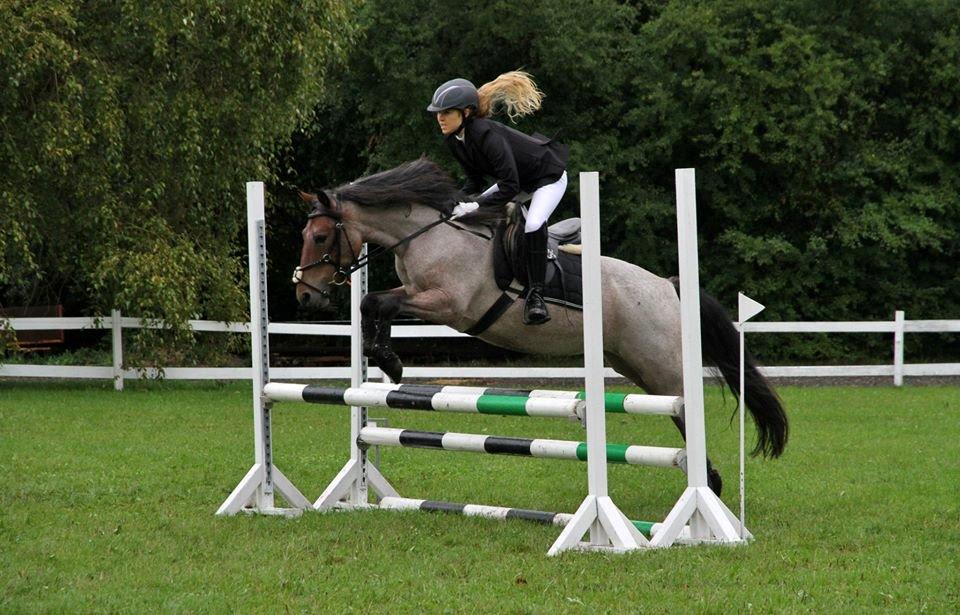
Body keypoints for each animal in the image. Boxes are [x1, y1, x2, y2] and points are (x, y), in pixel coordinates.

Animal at [292, 158, 788, 495]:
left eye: (320, 236)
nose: (305, 295)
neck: (427, 237)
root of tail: (668, 286)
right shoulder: (417, 294)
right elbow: (372, 305)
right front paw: (384, 360)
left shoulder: (448, 304)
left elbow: (376, 301)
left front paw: (388, 361)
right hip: (633, 365)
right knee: (676, 410)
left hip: (660, 364)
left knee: (685, 408)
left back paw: (710, 488)